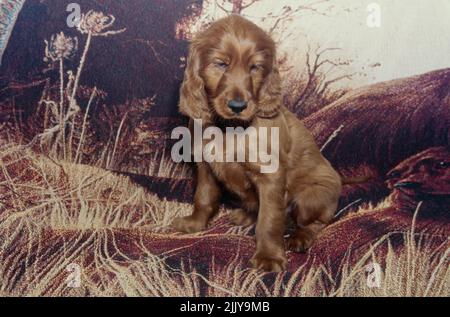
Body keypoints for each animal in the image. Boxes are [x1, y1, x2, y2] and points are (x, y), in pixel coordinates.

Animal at [172, 15, 342, 272]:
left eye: (255, 67)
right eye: (221, 64)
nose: (238, 106)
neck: (230, 128)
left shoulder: (270, 176)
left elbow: (269, 218)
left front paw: (269, 256)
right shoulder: (204, 164)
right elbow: (204, 197)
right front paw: (195, 224)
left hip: (311, 197)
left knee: (314, 222)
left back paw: (300, 237)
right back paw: (245, 215)